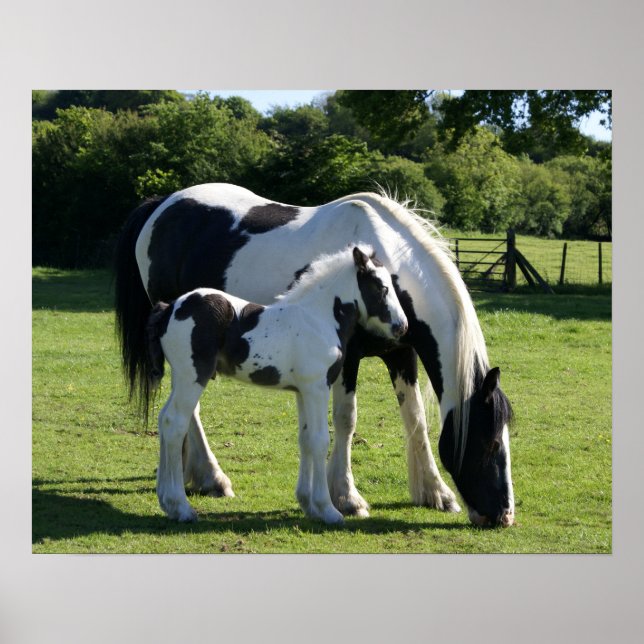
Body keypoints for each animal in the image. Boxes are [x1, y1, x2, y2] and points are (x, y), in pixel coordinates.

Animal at [144, 246, 408, 524]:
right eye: (381, 288)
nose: (402, 326)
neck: (318, 318)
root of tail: (170, 308)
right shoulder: (317, 387)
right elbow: (319, 440)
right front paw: (328, 509)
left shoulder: (302, 392)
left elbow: (305, 439)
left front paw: (308, 505)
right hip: (192, 376)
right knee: (175, 422)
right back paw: (181, 507)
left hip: (180, 376)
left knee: (164, 419)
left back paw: (166, 501)